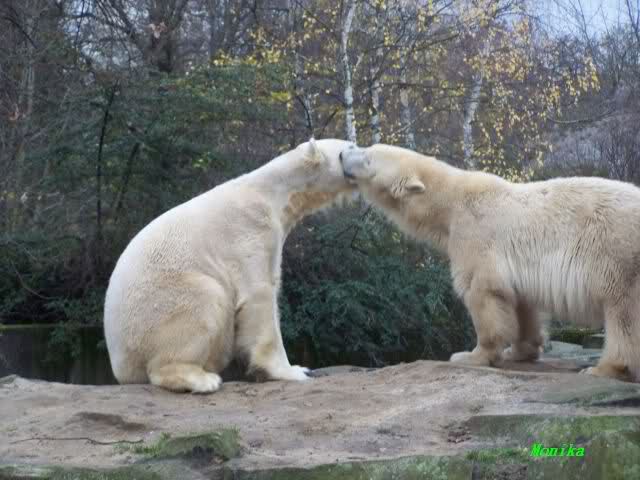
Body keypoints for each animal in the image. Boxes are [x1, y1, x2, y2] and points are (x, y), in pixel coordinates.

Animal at [104, 138, 355, 393]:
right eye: (349, 147)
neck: (272, 193)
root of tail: (119, 365)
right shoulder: (249, 231)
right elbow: (258, 296)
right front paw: (293, 371)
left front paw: (299, 367)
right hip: (159, 306)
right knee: (205, 299)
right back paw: (202, 379)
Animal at [340, 143, 640, 382]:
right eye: (366, 147)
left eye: (367, 157)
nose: (341, 154)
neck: (450, 204)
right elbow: (521, 301)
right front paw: (519, 351)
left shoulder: (475, 234)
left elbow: (482, 290)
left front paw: (472, 355)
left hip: (618, 253)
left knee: (621, 310)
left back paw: (604, 368)